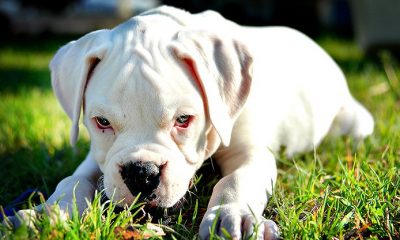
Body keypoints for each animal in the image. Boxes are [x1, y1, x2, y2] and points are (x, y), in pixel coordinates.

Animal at [7, 4, 376, 239]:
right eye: (102, 122)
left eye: (184, 120)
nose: (142, 173)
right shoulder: (96, 160)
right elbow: (71, 181)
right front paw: (46, 214)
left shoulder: (251, 153)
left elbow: (235, 179)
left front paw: (232, 217)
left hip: (355, 122)